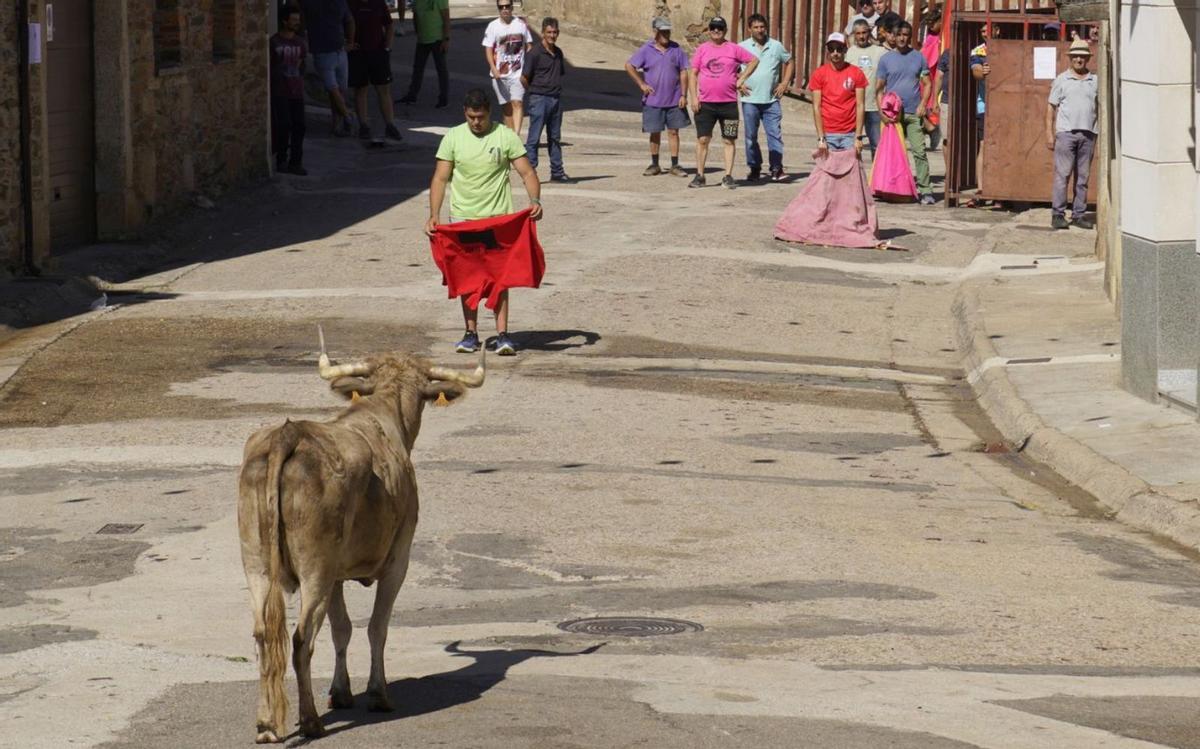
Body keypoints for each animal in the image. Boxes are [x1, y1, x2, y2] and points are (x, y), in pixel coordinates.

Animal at [236, 328, 484, 744]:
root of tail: (289, 434)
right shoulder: (398, 560)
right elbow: (376, 627)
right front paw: (377, 693)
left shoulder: (336, 575)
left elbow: (343, 628)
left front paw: (341, 692)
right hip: (314, 572)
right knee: (302, 639)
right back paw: (310, 721)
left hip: (257, 566)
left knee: (263, 634)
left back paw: (267, 725)